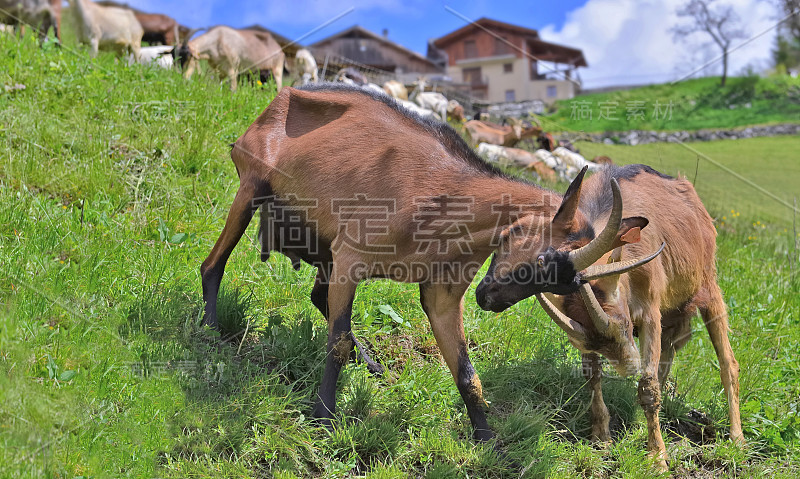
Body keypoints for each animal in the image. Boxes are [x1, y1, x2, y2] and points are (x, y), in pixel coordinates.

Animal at [200, 83, 644, 442]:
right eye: (542, 259)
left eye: (565, 283)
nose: (491, 300)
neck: (445, 198)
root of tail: (279, 99)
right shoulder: (350, 258)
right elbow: (338, 342)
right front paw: (323, 418)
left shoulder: (442, 293)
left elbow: (466, 372)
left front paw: (487, 439)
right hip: (251, 188)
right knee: (213, 264)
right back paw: (209, 329)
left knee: (318, 296)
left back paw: (372, 364)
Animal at [476, 164, 744, 468]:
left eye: (625, 324)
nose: (483, 295)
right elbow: (594, 376)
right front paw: (601, 436)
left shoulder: (650, 314)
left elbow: (648, 386)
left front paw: (657, 457)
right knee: (668, 356)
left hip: (709, 288)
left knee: (728, 363)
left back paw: (737, 438)